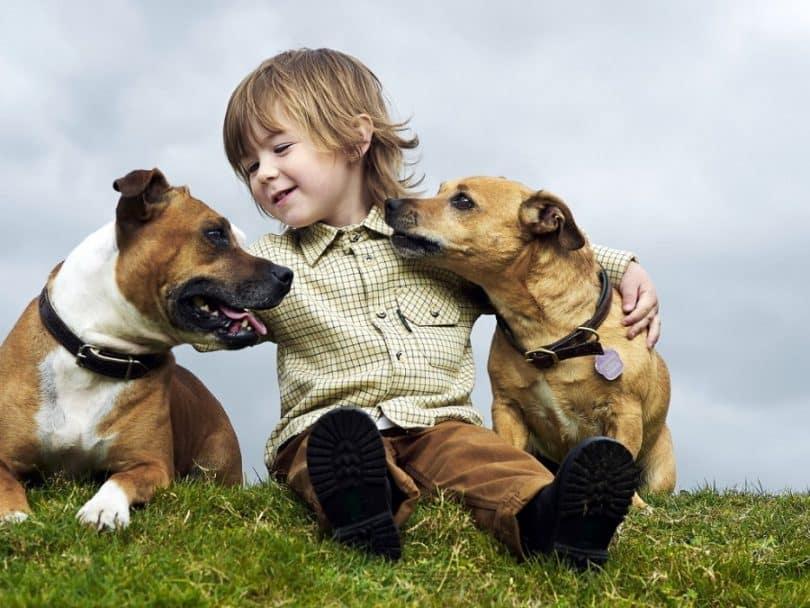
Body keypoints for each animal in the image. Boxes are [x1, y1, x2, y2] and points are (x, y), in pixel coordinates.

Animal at [0, 169, 290, 528]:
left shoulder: (151, 464)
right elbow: (6, 481)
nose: (287, 274)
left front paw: (103, 508)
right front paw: (13, 514)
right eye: (215, 234)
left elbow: (120, 479)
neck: (98, 352)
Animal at [382, 177, 672, 504]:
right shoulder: (507, 408)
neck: (545, 333)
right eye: (440, 190)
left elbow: (621, 456)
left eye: (463, 201)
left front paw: (632, 503)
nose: (389, 203)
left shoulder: (624, 411)